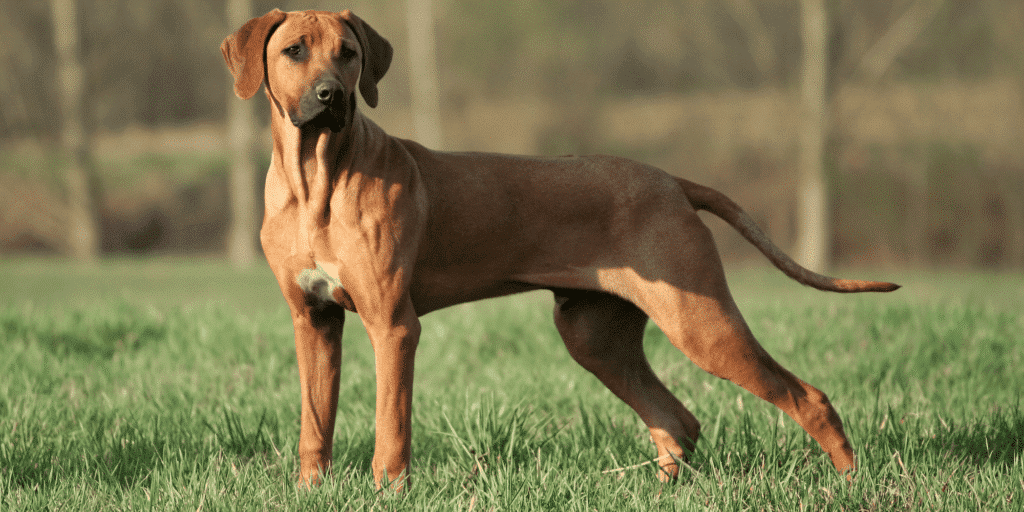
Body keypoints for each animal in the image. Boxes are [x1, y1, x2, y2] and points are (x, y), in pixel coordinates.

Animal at [222, 7, 897, 487]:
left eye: (350, 54)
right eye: (293, 51)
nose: (332, 95)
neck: (316, 179)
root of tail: (672, 181)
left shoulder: (393, 324)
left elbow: (392, 426)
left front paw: (387, 492)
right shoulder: (313, 319)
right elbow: (315, 423)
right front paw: (310, 490)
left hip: (700, 323)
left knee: (807, 398)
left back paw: (851, 484)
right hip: (594, 334)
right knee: (676, 419)